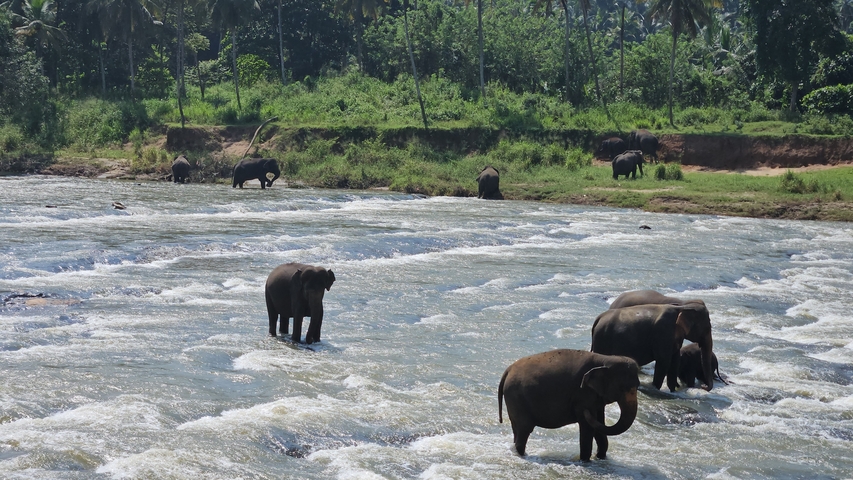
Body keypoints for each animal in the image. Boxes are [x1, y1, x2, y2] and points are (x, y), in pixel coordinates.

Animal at [498, 349, 640, 460]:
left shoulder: (595, 398)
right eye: (622, 388)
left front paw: (600, 458)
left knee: (517, 429)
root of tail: (508, 370)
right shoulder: (583, 394)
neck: (605, 358)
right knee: (524, 429)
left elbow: (599, 422)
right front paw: (585, 461)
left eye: (638, 386)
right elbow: (588, 425)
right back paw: (523, 454)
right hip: (517, 398)